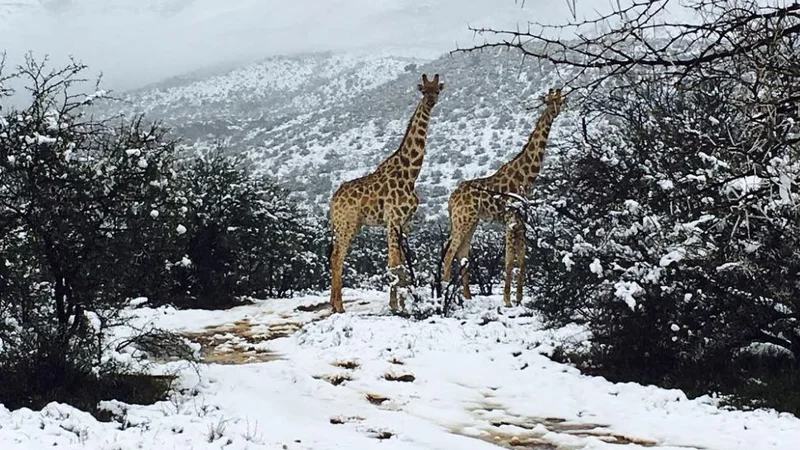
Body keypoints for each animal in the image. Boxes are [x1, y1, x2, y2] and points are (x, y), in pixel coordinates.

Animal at [330, 73, 446, 312]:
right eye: (423, 91)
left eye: (437, 90)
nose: (431, 102)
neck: (411, 174)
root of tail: (332, 200)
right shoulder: (393, 220)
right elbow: (394, 264)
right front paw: (395, 307)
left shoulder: (405, 223)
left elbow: (401, 264)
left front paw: (403, 304)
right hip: (346, 223)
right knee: (337, 256)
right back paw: (339, 306)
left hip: (349, 225)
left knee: (333, 255)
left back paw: (332, 303)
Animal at [440, 87, 564, 306]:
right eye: (549, 100)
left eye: (560, 99)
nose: (555, 111)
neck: (526, 177)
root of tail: (451, 200)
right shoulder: (510, 219)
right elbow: (508, 260)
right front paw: (507, 300)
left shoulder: (521, 221)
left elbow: (522, 260)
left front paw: (519, 298)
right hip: (462, 220)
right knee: (450, 254)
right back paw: (447, 295)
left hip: (471, 221)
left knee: (462, 254)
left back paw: (467, 296)